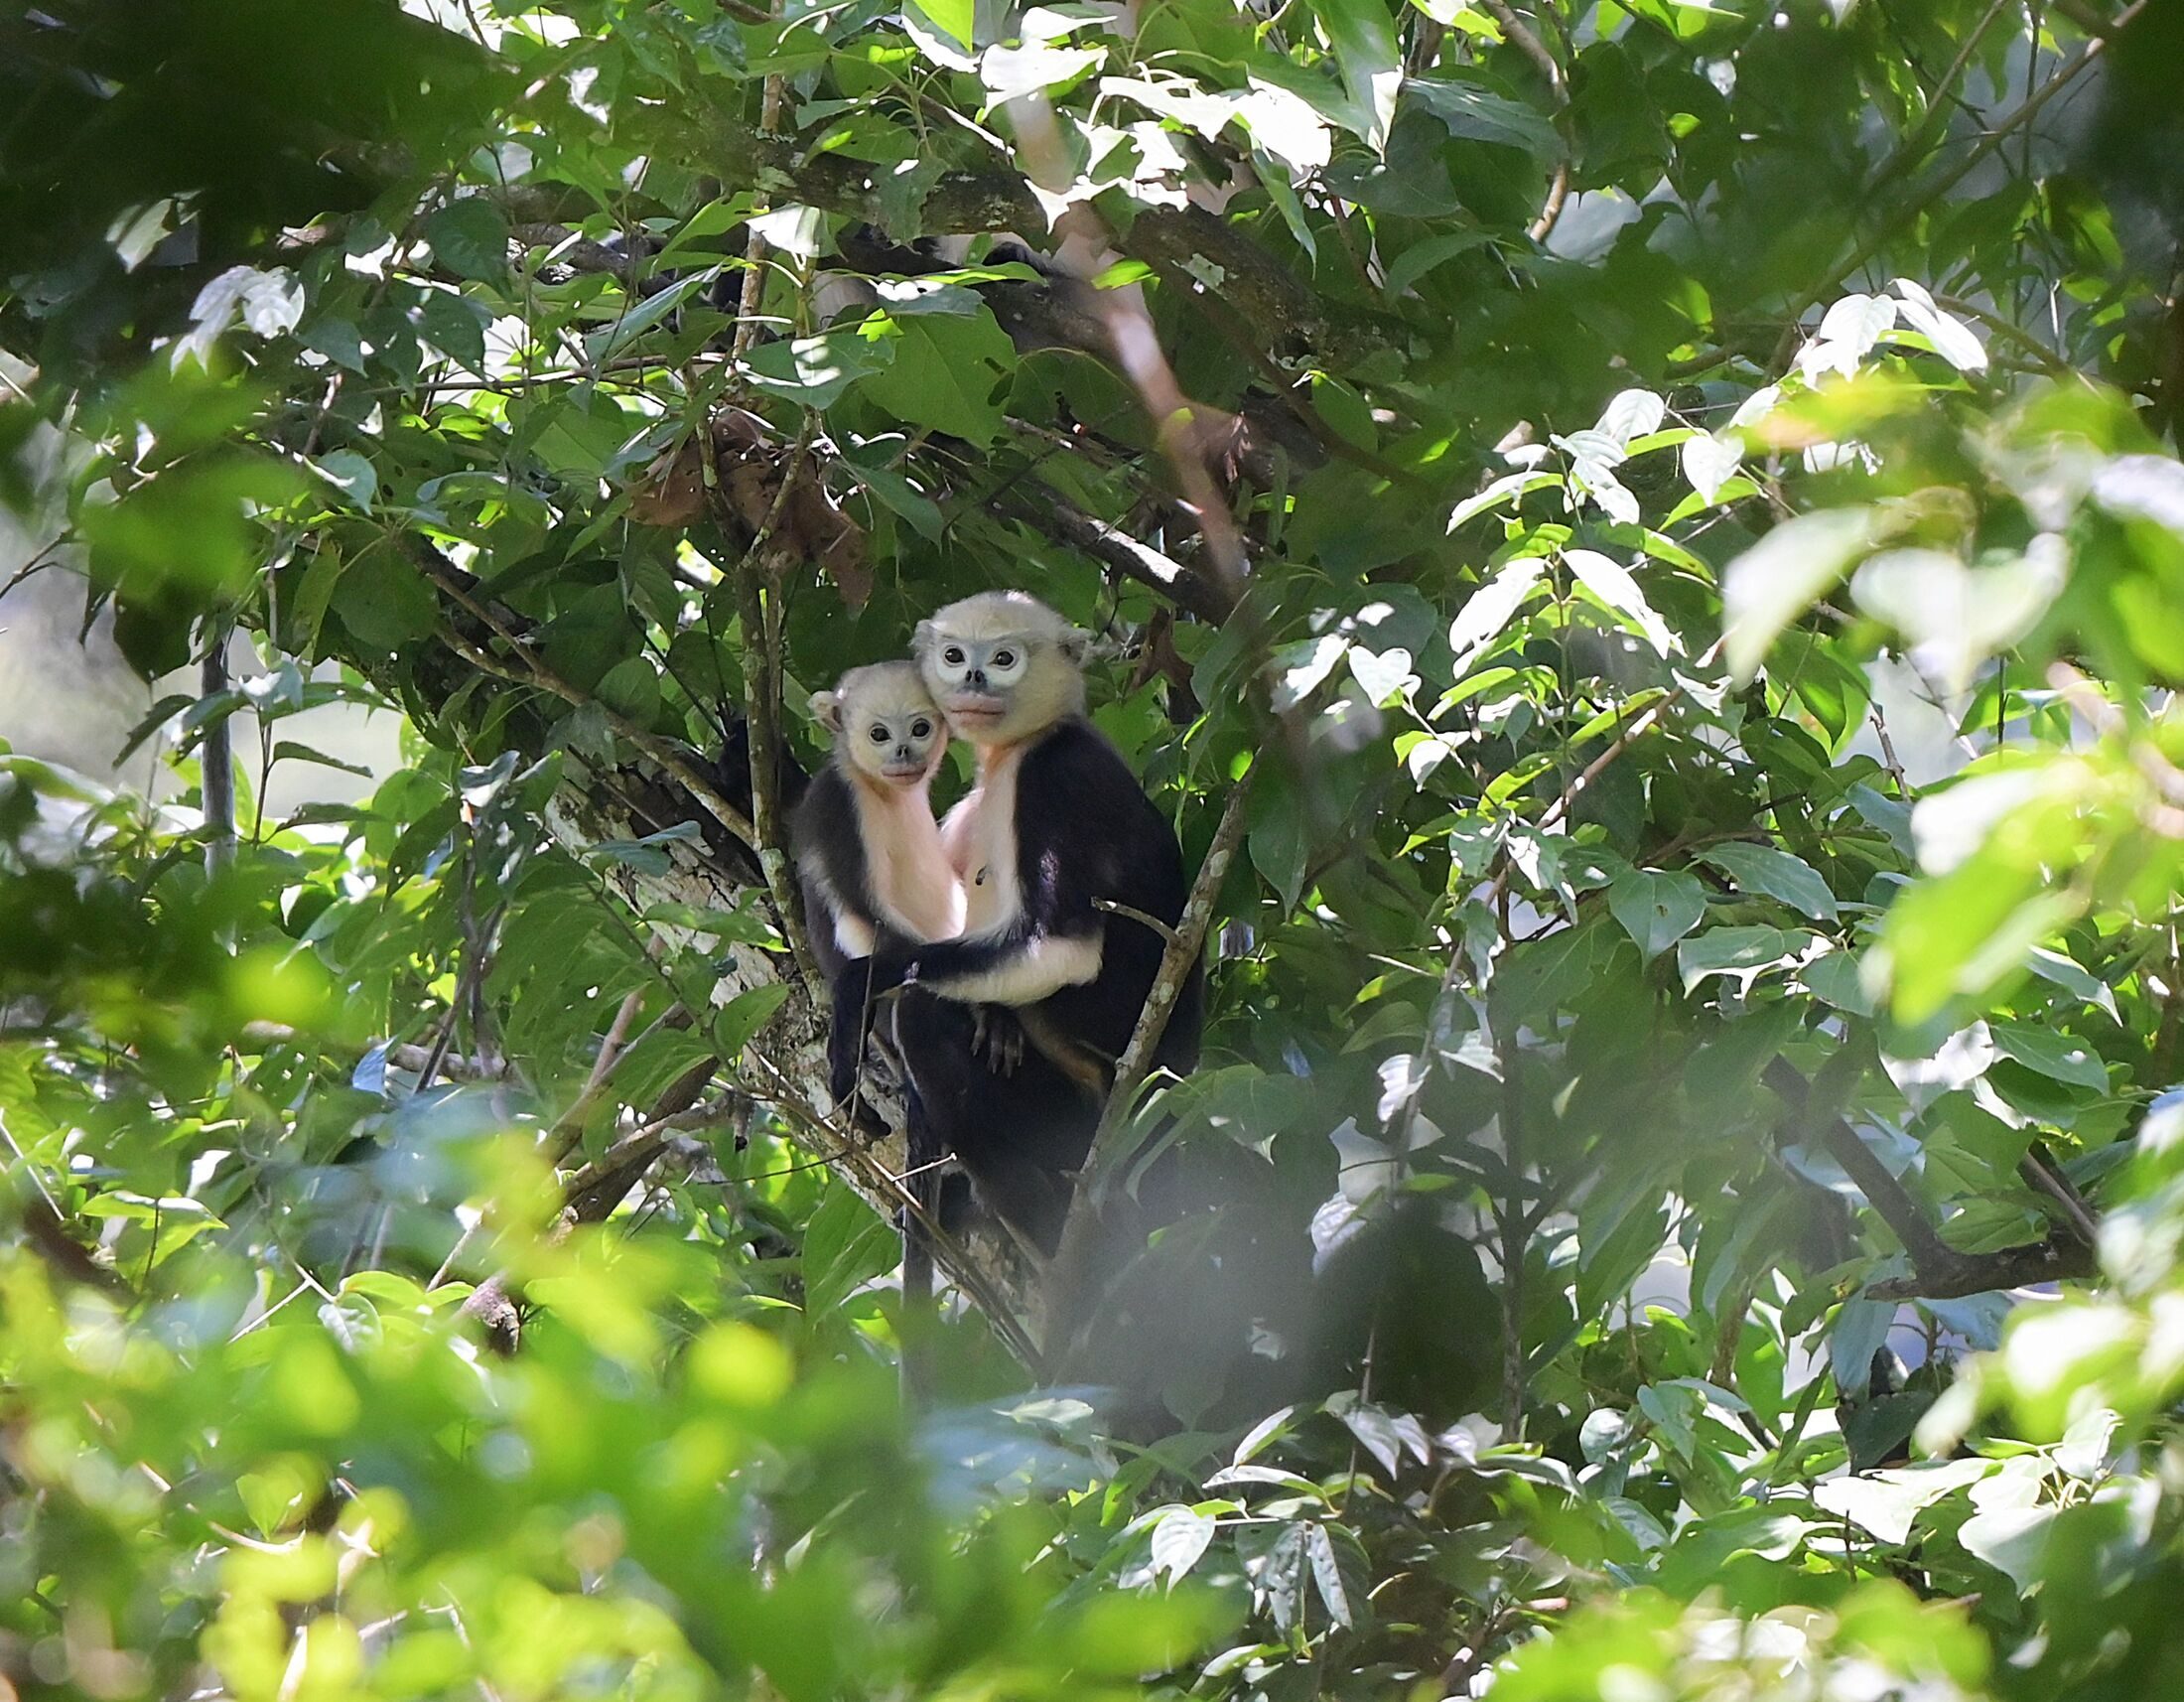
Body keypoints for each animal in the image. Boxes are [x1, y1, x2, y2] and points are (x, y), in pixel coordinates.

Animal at [861, 590, 1203, 1253]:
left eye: (1003, 659)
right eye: (953, 655)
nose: (971, 677)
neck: (1017, 754)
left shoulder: (1057, 779)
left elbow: (1062, 948)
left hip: (1078, 1120)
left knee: (922, 1014)